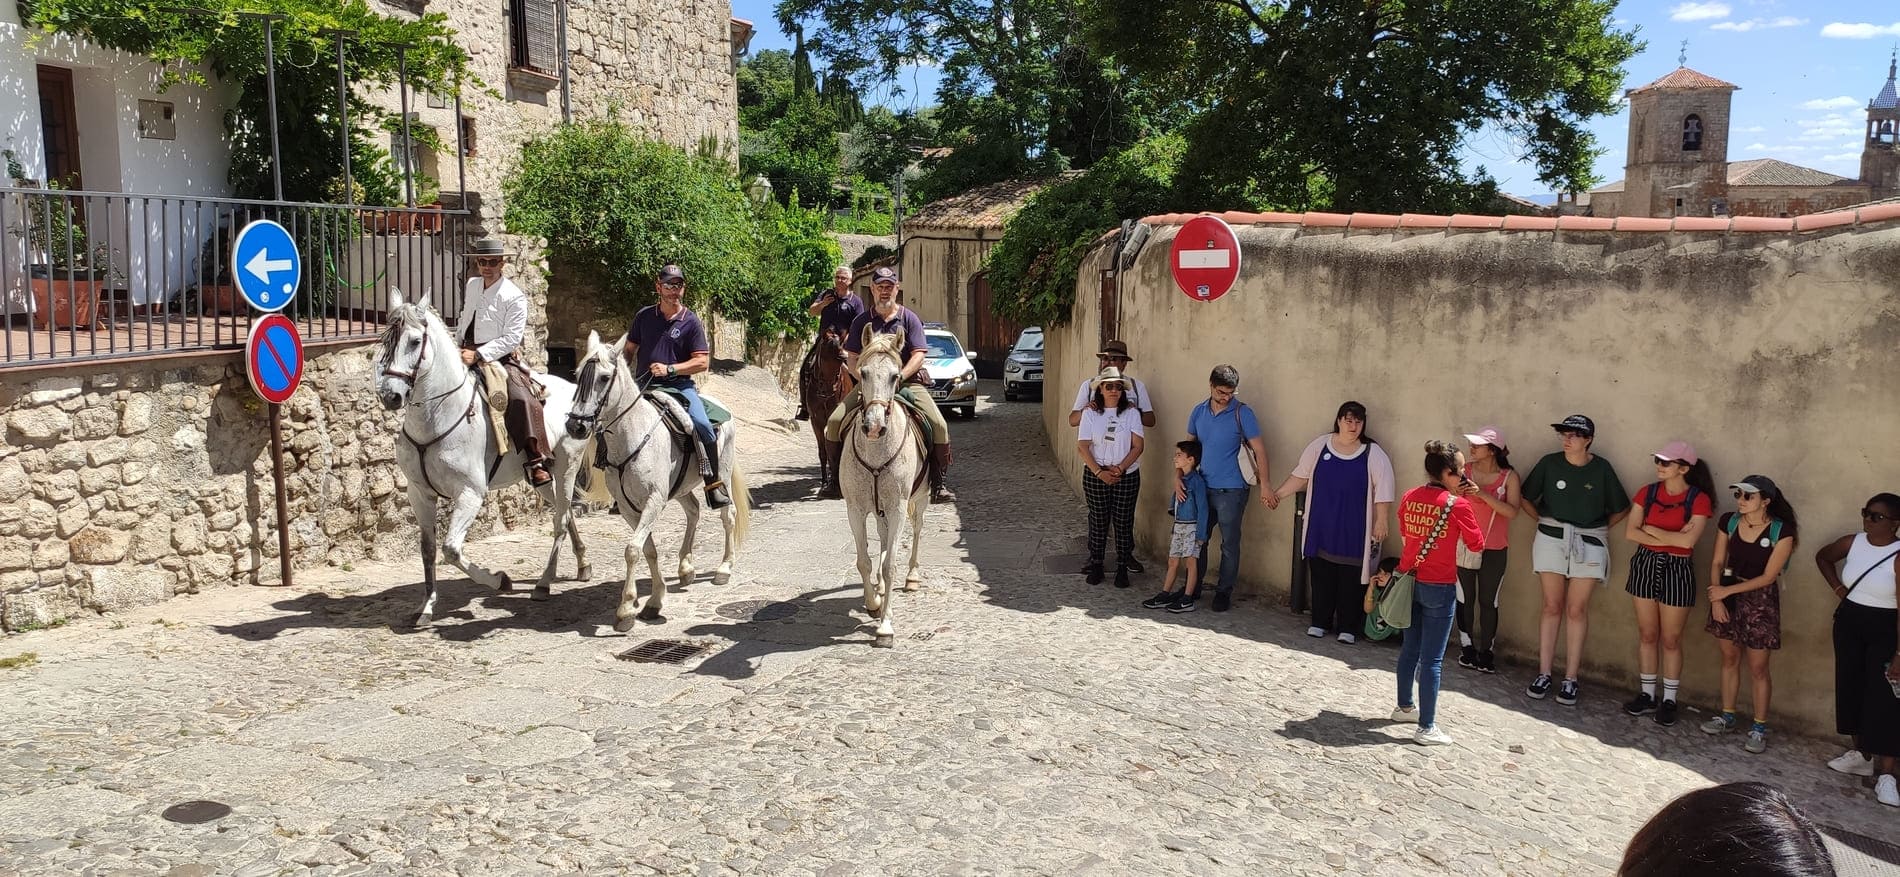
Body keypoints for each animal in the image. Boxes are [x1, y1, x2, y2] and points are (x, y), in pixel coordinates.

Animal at [372, 290, 592, 626]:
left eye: (414, 341)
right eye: (386, 339)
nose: (390, 396)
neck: (438, 417)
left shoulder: (470, 494)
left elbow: (451, 549)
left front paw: (499, 580)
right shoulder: (419, 494)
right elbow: (428, 549)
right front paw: (426, 606)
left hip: (568, 468)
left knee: (561, 520)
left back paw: (543, 583)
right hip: (543, 476)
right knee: (564, 512)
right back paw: (581, 565)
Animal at [558, 330, 744, 630]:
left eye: (604, 378)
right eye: (577, 374)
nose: (577, 425)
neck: (632, 436)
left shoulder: (654, 501)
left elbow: (633, 549)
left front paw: (626, 609)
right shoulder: (628, 508)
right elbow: (649, 550)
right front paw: (654, 600)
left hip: (722, 476)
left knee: (728, 516)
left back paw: (724, 568)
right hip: (681, 488)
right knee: (693, 511)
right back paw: (686, 568)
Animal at [798, 328, 851, 497]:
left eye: (843, 343)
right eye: (830, 345)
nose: (844, 356)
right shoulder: (817, 422)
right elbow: (823, 452)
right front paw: (825, 483)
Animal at [839, 328, 927, 645]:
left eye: (894, 376)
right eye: (863, 373)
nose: (875, 427)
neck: (876, 451)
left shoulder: (897, 507)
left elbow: (890, 565)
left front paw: (885, 626)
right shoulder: (855, 509)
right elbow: (864, 561)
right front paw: (874, 603)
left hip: (919, 500)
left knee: (916, 531)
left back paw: (912, 577)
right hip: (879, 511)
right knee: (883, 537)